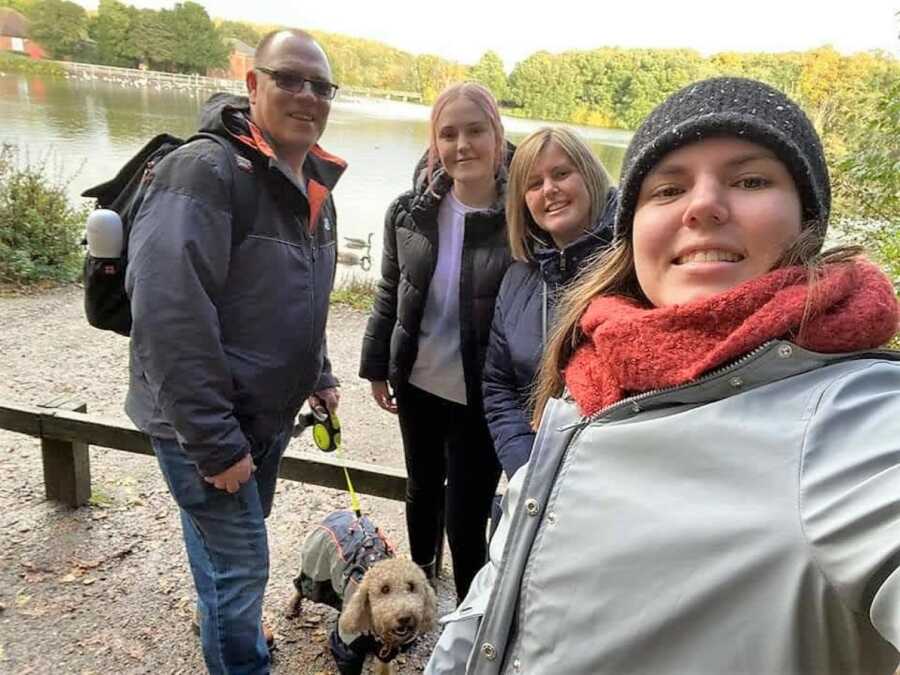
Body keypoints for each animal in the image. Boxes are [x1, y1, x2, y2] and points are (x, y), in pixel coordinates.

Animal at [286, 512, 438, 675]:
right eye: (384, 589)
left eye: (411, 587)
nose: (404, 618)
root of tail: (338, 513)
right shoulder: (346, 648)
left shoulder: (386, 651)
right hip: (317, 576)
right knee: (302, 586)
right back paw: (293, 607)